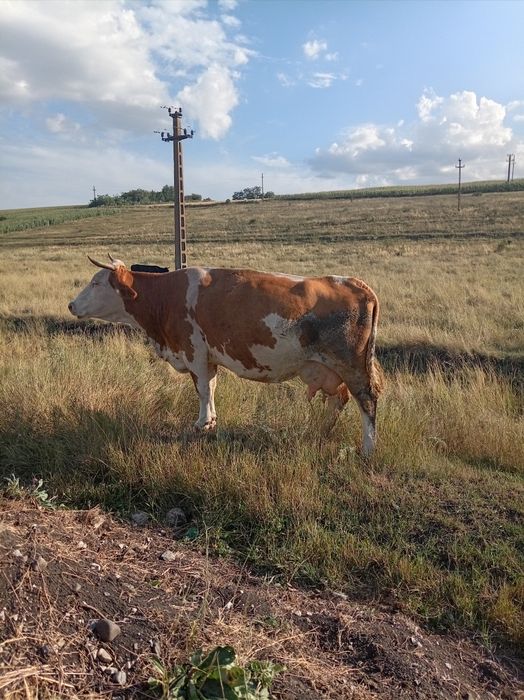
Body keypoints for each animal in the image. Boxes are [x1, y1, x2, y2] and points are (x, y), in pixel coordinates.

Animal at [68, 256, 384, 456]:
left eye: (96, 283)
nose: (71, 305)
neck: (166, 297)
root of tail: (357, 284)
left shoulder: (193, 352)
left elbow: (202, 389)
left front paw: (201, 424)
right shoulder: (208, 357)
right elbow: (211, 387)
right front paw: (211, 421)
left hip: (353, 366)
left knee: (366, 401)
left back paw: (368, 449)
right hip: (328, 369)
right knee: (338, 400)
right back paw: (319, 431)